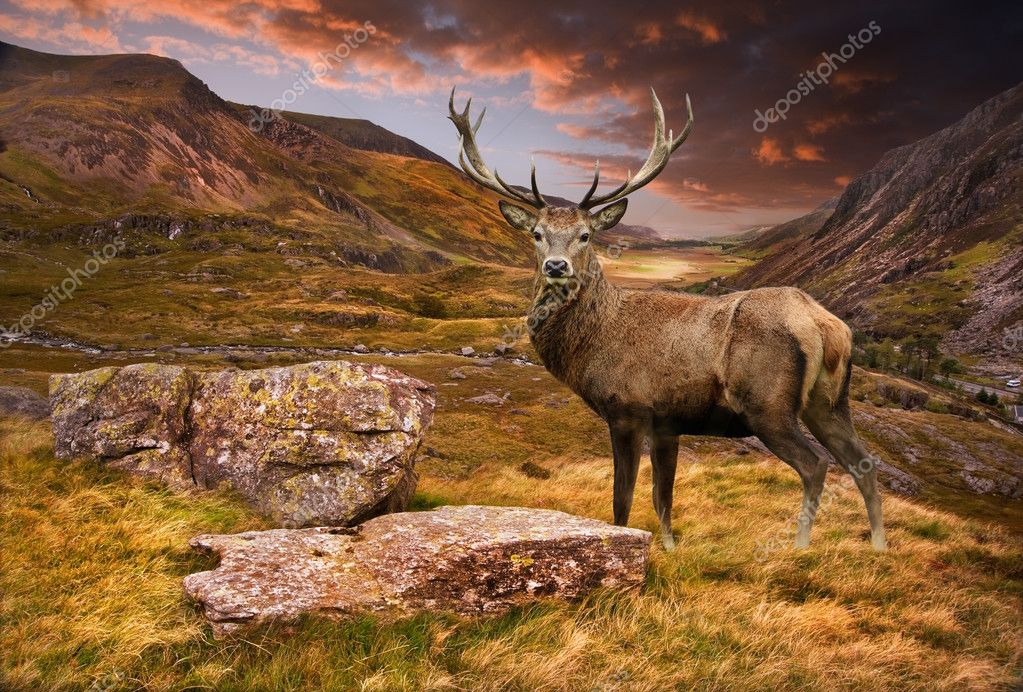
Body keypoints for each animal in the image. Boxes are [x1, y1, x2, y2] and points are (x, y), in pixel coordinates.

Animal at [447, 87, 886, 553]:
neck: (594, 343)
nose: (556, 266)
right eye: (536, 234)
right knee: (863, 463)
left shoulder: (627, 408)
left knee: (815, 465)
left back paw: (801, 546)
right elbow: (663, 497)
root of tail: (826, 326)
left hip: (768, 404)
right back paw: (879, 547)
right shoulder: (667, 423)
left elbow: (622, 499)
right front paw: (670, 548)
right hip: (830, 402)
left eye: (586, 234)